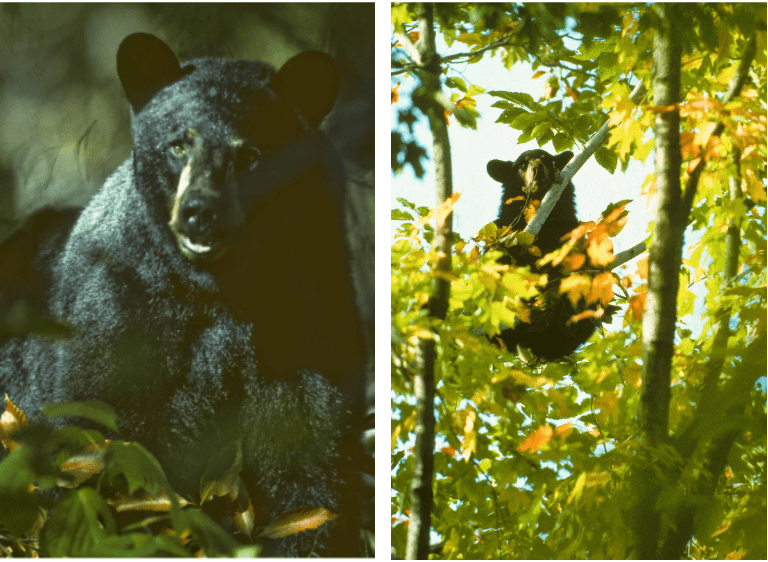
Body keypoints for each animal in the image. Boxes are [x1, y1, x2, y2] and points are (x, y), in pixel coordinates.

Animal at [0, 33, 366, 557]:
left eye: (252, 153)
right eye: (177, 144)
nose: (200, 211)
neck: (224, 289)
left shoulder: (311, 318)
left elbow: (310, 476)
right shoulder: (117, 309)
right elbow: (101, 448)